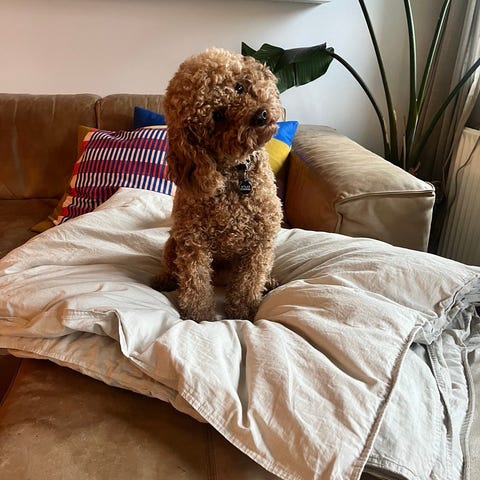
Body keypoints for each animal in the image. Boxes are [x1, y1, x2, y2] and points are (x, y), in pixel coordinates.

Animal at [154, 47, 283, 321]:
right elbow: (195, 283)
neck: (238, 171)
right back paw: (163, 280)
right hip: (173, 244)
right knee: (173, 268)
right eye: (218, 115)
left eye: (239, 87)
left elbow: (249, 282)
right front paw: (199, 317)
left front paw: (242, 312)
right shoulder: (193, 242)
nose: (260, 115)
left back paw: (269, 282)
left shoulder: (260, 242)